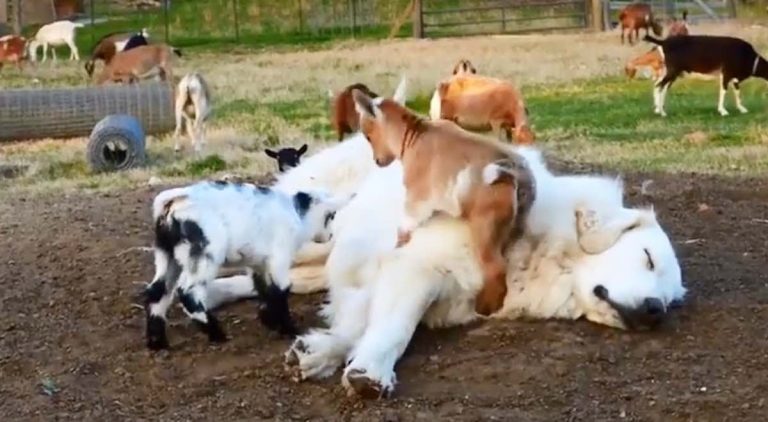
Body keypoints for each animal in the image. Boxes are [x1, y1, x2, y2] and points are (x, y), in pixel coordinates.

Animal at [144, 180, 351, 350]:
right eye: (331, 215)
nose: (330, 236)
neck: (296, 213)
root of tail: (173, 203)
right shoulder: (279, 256)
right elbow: (280, 289)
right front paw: (289, 329)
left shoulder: (258, 262)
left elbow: (263, 288)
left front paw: (269, 320)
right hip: (203, 253)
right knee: (188, 291)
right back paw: (215, 333)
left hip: (166, 254)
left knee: (157, 290)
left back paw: (157, 342)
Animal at [352, 89, 536, 316]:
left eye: (368, 136)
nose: (378, 161)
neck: (415, 134)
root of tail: (514, 172)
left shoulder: (416, 201)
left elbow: (403, 229)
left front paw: (397, 248)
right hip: (515, 225)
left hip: (485, 228)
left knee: (495, 267)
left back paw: (484, 307)